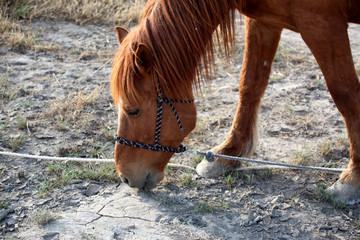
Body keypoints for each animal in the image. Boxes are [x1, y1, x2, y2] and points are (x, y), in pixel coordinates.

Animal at [109, 0, 360, 203]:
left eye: (133, 110)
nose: (125, 177)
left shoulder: (321, 23)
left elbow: (346, 95)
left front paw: (353, 177)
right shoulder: (263, 21)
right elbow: (250, 84)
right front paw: (229, 152)